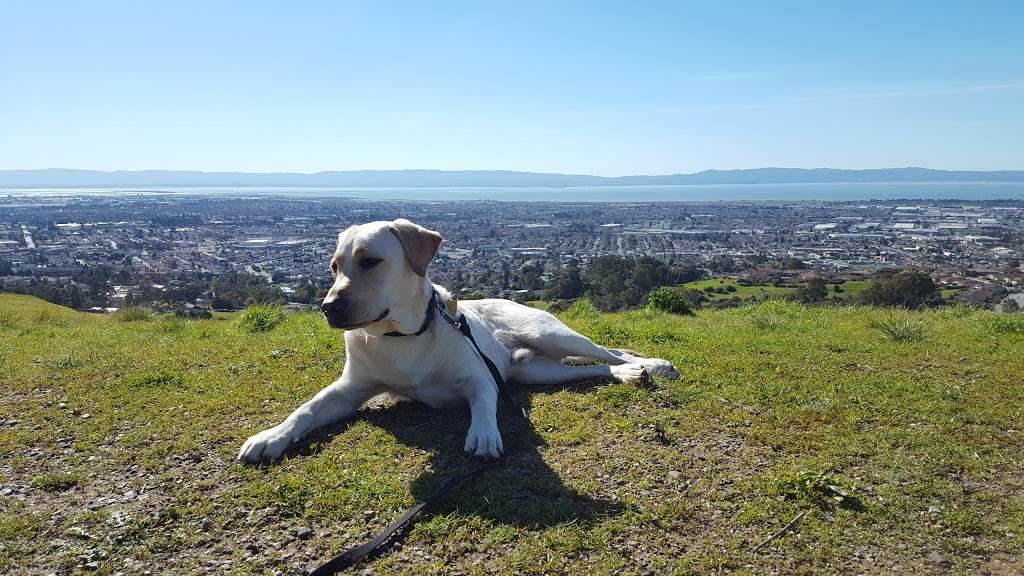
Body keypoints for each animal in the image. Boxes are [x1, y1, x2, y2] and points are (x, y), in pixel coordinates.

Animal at [238, 217, 679, 459]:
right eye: (333, 266)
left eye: (370, 261)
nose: (328, 307)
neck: (402, 336)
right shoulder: (349, 389)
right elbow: (307, 409)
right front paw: (271, 436)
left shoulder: (479, 378)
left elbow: (483, 404)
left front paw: (483, 434)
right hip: (537, 372)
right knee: (595, 367)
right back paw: (630, 375)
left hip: (549, 334)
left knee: (610, 350)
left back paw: (652, 365)